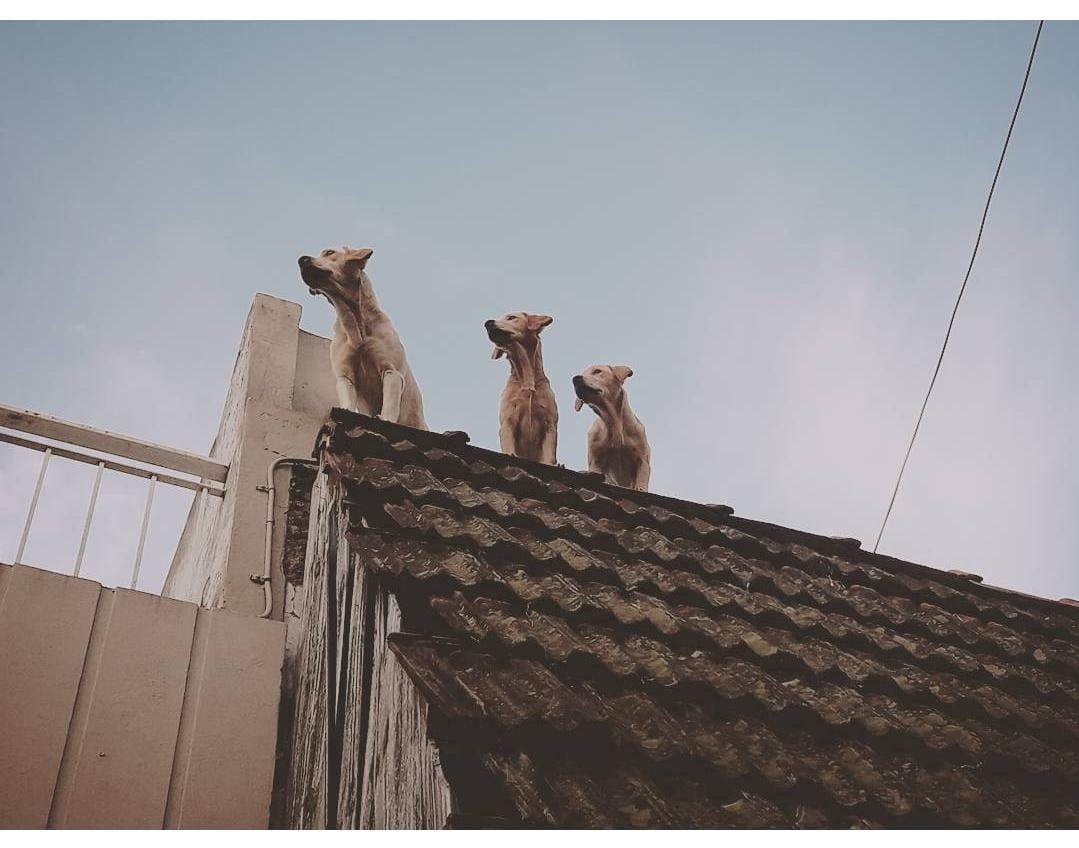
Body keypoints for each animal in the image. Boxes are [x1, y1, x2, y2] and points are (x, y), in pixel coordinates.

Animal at [299, 245, 429, 429]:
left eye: (329, 252)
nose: (301, 260)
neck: (357, 328)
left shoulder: (392, 372)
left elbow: (389, 406)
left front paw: (385, 418)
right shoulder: (345, 376)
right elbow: (347, 400)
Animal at [487, 312, 561, 466]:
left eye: (511, 317)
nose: (487, 323)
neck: (527, 380)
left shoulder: (550, 425)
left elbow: (548, 456)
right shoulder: (507, 422)